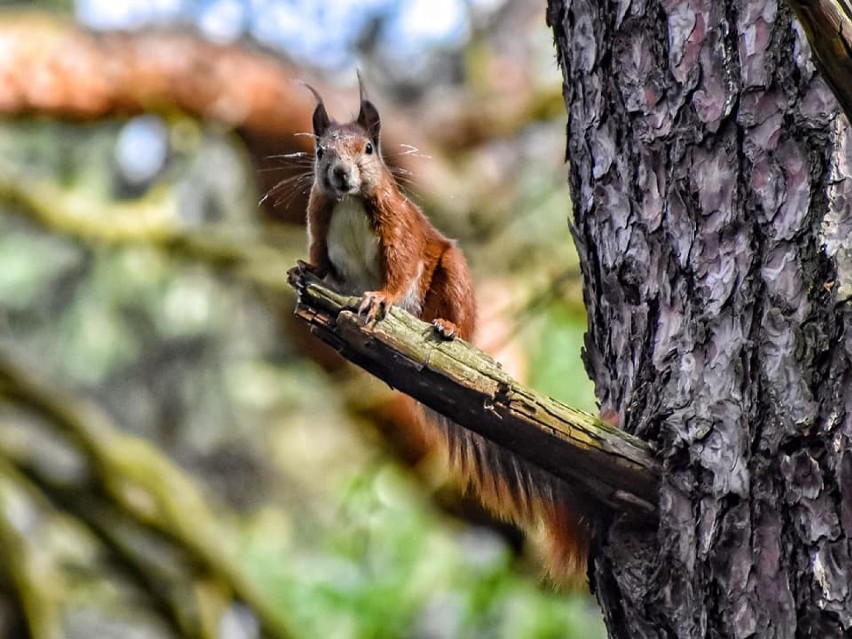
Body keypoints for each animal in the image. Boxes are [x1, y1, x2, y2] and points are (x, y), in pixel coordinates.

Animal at [300, 76, 584, 580]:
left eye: (368, 148)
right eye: (320, 151)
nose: (341, 176)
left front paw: (380, 298)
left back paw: (448, 328)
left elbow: (400, 269)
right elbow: (319, 259)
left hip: (452, 274)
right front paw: (305, 272)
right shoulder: (320, 221)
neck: (349, 203)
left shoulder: (400, 233)